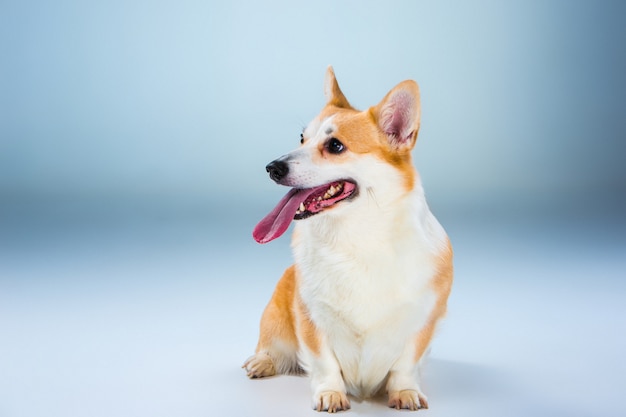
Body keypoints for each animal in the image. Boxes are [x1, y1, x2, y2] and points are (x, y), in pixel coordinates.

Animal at [241, 66, 450, 412]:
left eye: (336, 146)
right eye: (302, 138)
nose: (272, 167)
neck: (358, 234)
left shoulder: (424, 319)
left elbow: (406, 363)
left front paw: (405, 392)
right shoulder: (311, 317)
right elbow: (325, 362)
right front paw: (330, 394)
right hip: (275, 316)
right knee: (274, 347)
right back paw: (262, 362)